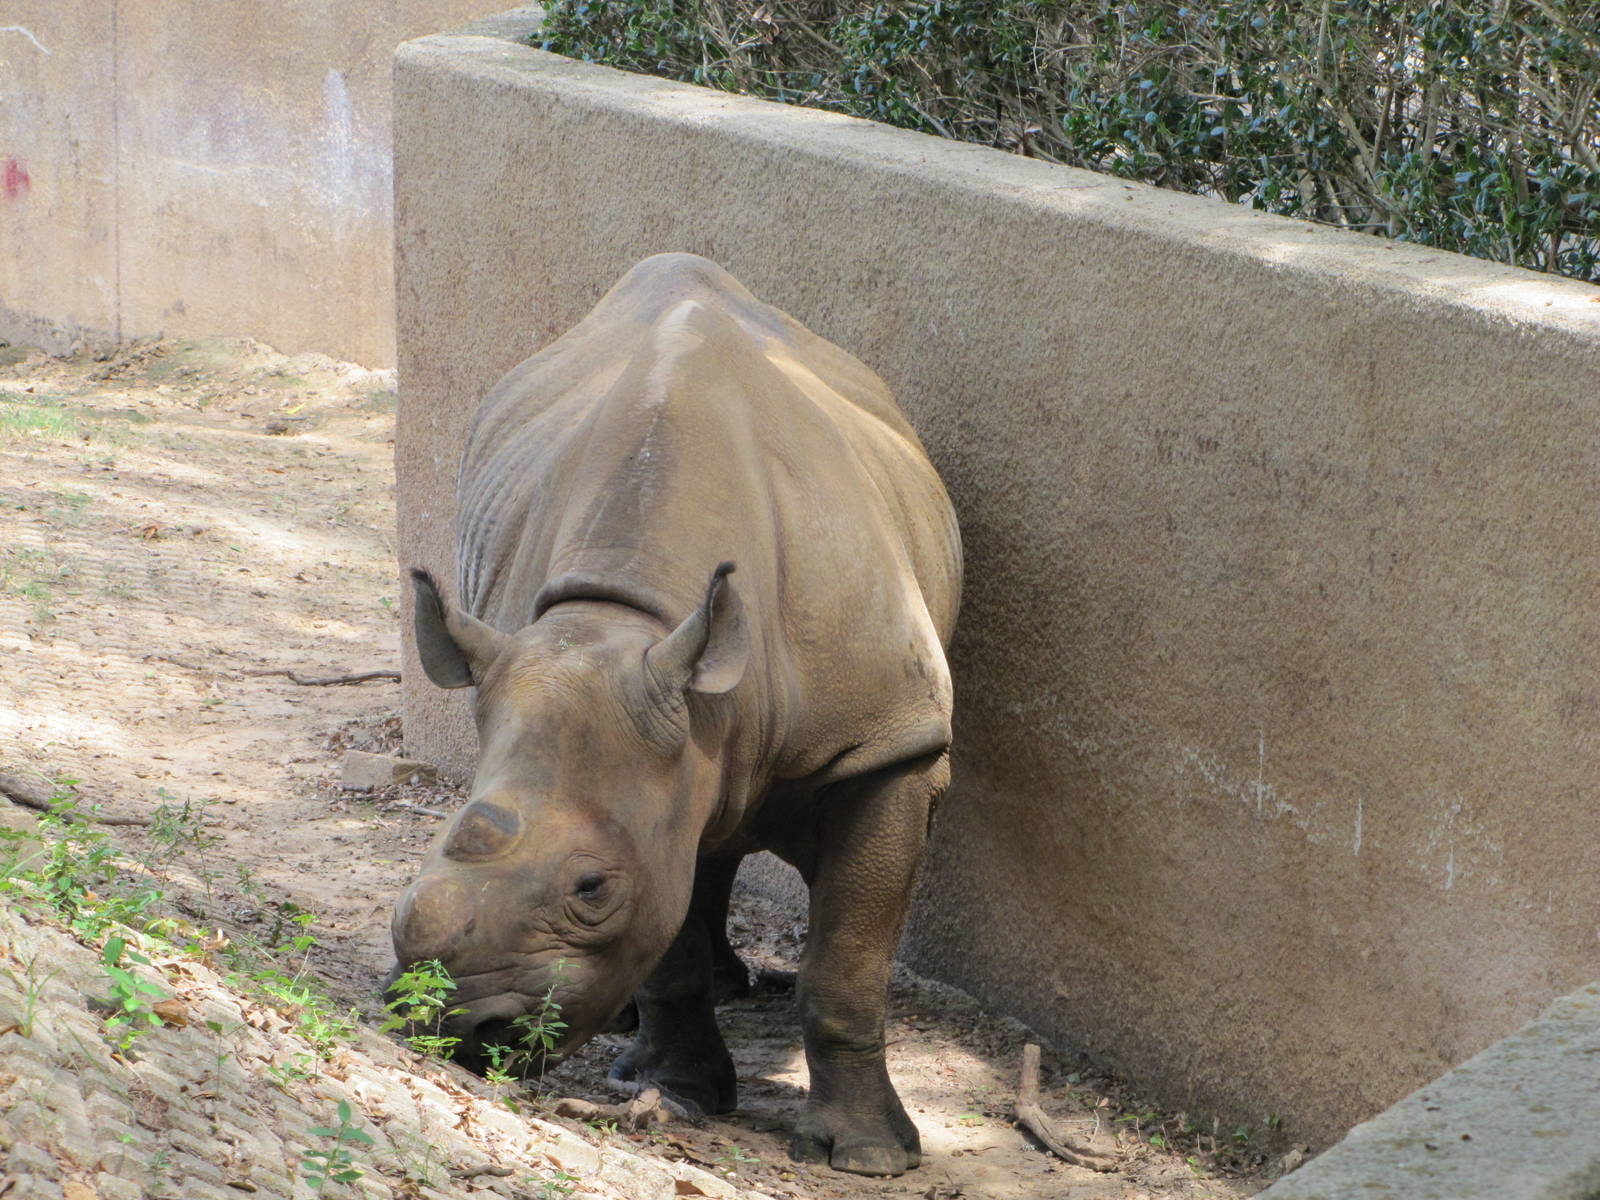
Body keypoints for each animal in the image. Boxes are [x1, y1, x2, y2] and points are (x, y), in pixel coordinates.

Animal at [392, 254, 960, 1176]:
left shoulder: (885, 744)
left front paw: (870, 1156)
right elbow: (672, 927)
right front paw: (678, 1090)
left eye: (592, 890)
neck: (631, 619)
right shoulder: (662, 735)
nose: (465, 1033)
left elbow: (849, 962)